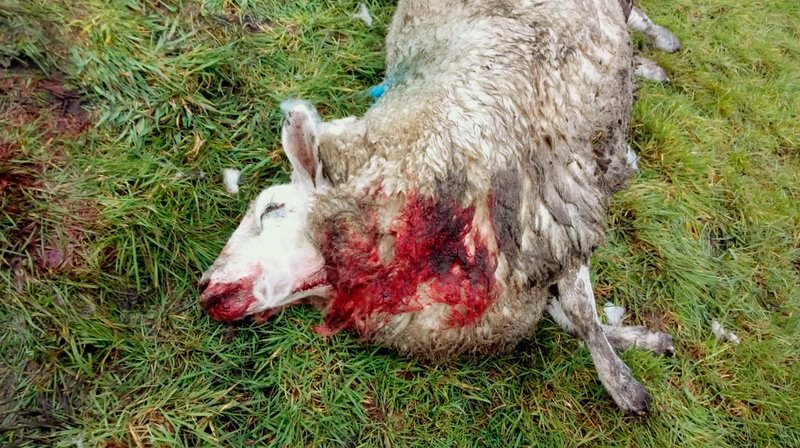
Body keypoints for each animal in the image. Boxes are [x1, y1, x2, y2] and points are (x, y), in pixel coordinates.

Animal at [199, 0, 675, 415]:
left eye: (271, 208)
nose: (205, 287)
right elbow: (566, 316)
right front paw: (641, 343)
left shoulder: (558, 208)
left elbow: (581, 313)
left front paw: (624, 383)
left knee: (638, 17)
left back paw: (662, 45)